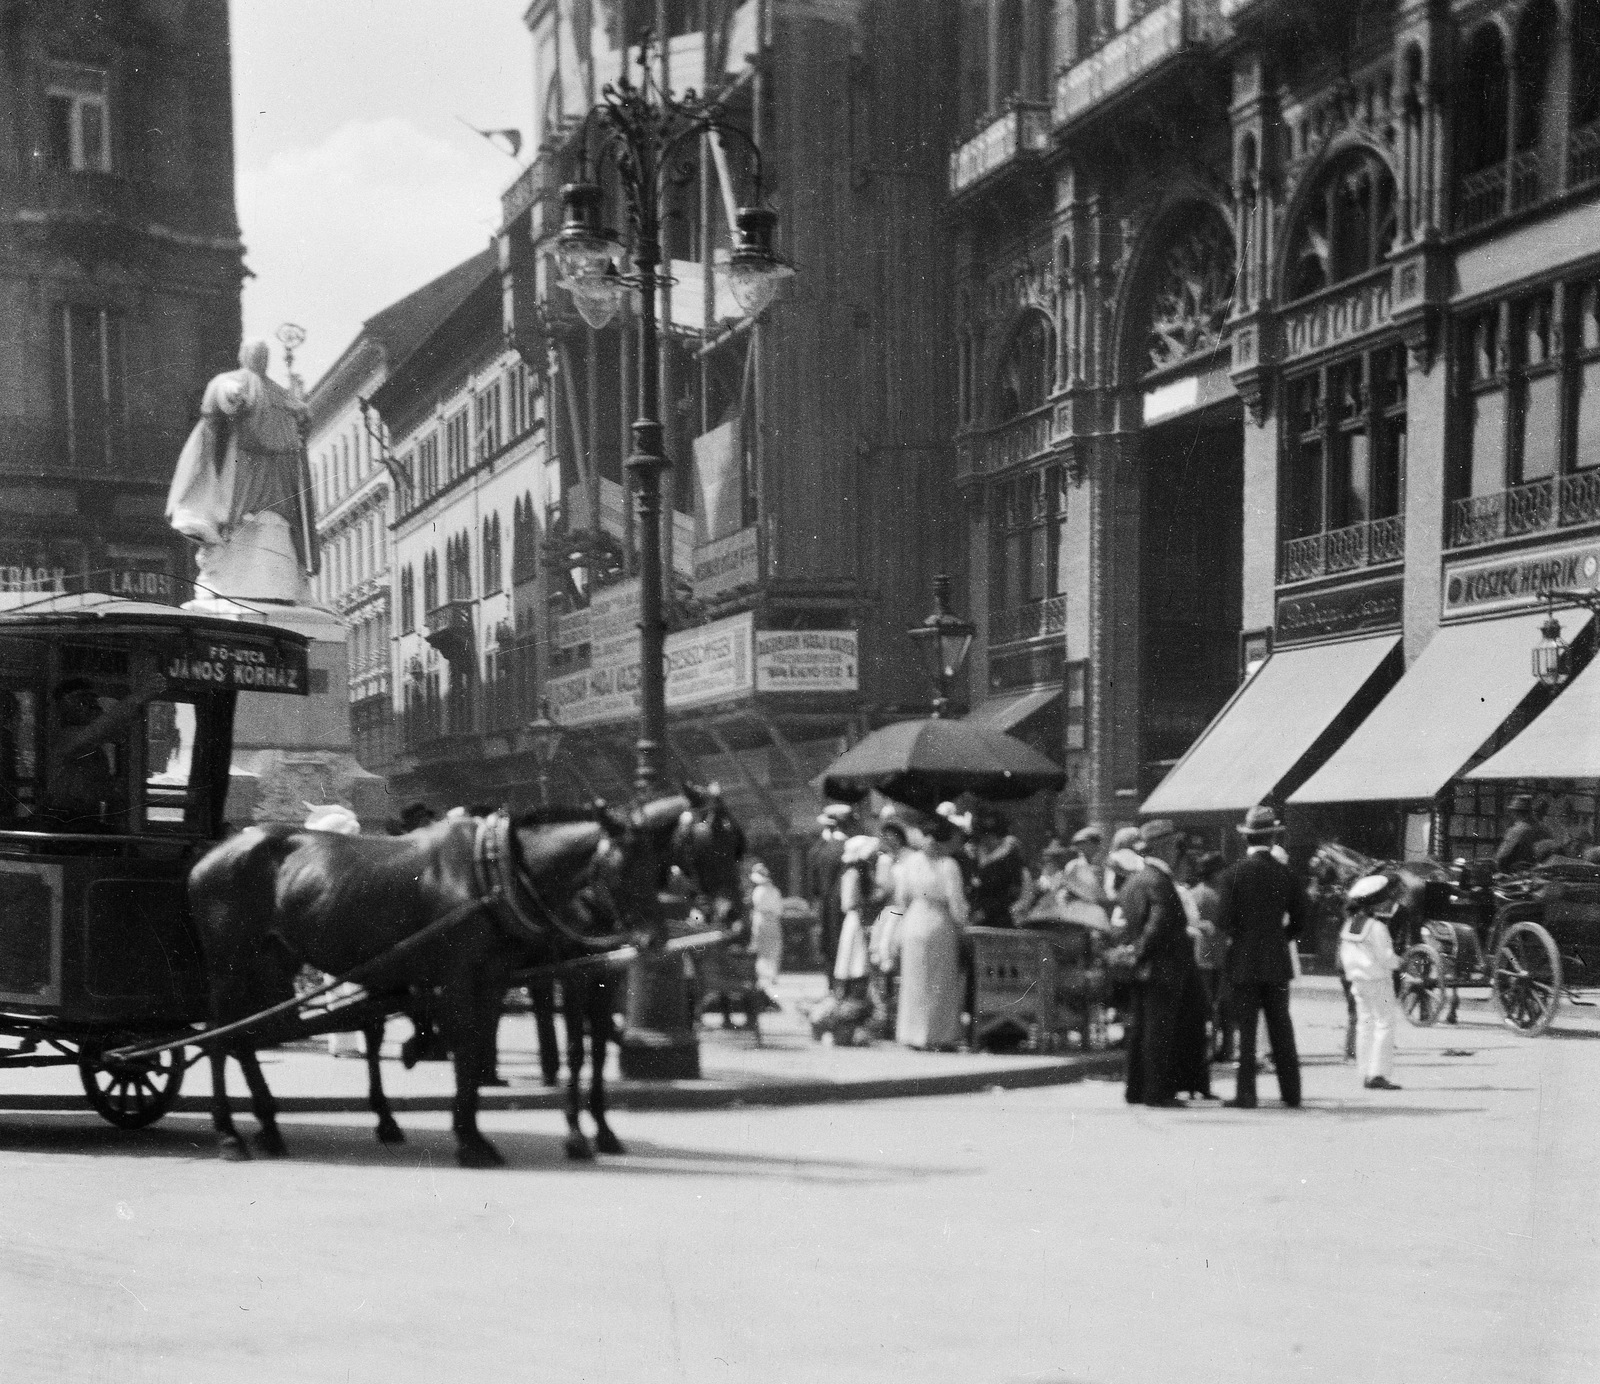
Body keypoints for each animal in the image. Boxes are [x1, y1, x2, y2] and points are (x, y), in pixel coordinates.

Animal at [184, 784, 745, 1158]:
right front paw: (511, 1137)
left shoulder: (520, 977)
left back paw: (275, 1123)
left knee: (252, 1035)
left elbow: (489, 1050)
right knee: (222, 1034)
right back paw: (229, 1131)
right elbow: (502, 1048)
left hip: (272, 961)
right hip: (229, 963)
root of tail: (212, 853)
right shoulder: (515, 975)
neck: (499, 872)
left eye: (737, 844)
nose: (734, 916)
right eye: (619, 867)